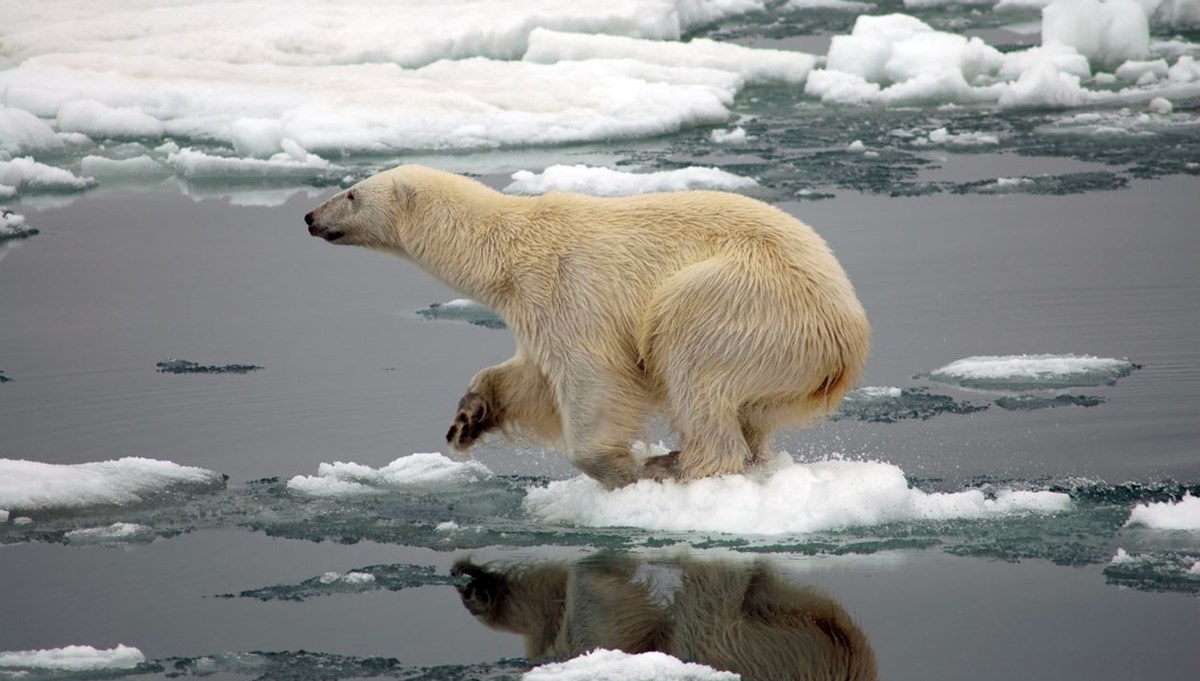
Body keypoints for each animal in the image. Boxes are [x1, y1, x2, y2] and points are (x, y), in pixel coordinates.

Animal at [307, 164, 873, 486]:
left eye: (352, 193)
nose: (311, 217)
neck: (509, 248)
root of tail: (848, 338)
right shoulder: (532, 306)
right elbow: (529, 378)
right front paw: (468, 418)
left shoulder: (569, 289)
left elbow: (592, 378)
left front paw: (622, 468)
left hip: (750, 302)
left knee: (691, 354)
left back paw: (677, 464)